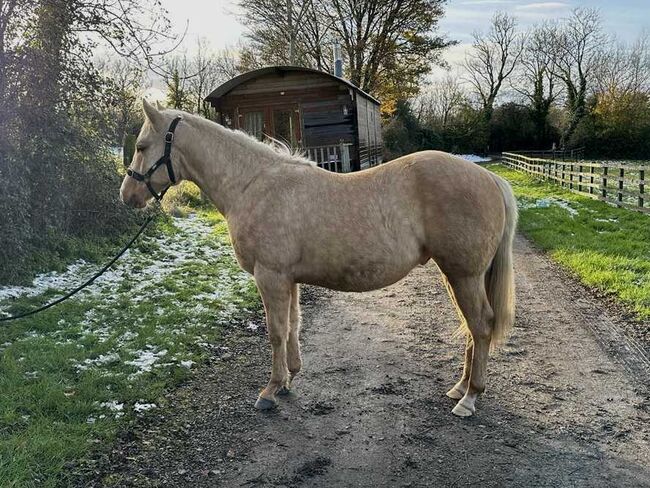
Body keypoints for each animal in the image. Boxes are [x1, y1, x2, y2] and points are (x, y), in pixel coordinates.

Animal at [120, 100, 516, 420]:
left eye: (141, 146)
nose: (127, 195)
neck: (252, 184)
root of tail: (489, 177)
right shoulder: (287, 278)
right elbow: (293, 326)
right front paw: (288, 380)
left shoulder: (270, 276)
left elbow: (276, 332)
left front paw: (269, 390)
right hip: (458, 275)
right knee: (471, 328)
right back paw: (460, 387)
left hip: (464, 274)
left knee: (480, 325)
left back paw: (469, 398)